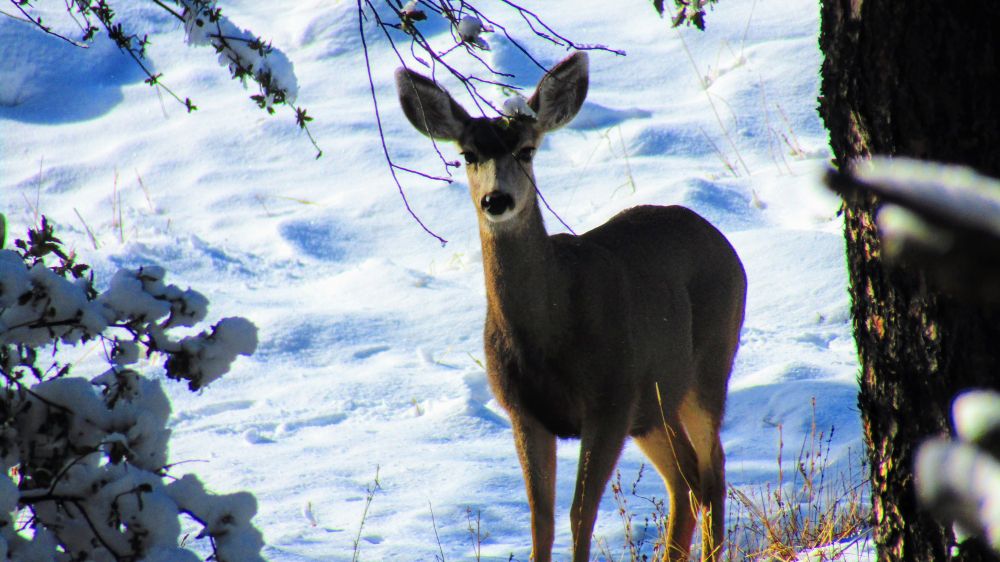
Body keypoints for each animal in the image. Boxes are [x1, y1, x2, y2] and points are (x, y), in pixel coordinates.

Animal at [395, 51, 747, 562]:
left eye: (527, 150)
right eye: (468, 155)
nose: (496, 199)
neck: (548, 333)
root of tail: (724, 244)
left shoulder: (609, 400)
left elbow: (581, 513)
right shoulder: (524, 411)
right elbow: (539, 518)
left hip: (708, 365)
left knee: (711, 467)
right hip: (653, 406)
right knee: (685, 478)